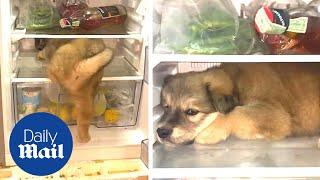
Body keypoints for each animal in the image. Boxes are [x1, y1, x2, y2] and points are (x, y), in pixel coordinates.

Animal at [157, 63, 320, 145]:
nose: (161, 132)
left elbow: (236, 112)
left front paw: (211, 132)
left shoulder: (277, 115)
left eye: (191, 111)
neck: (238, 84)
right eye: (166, 107)